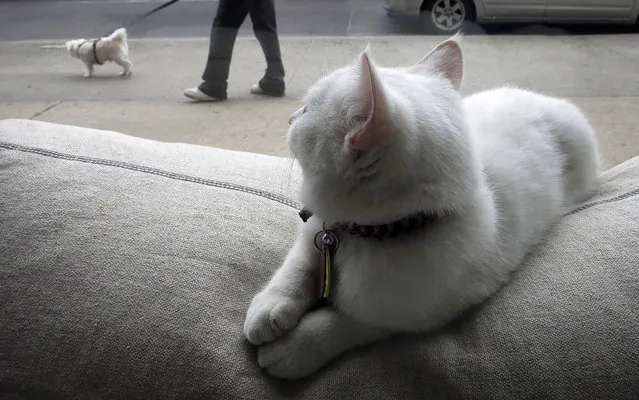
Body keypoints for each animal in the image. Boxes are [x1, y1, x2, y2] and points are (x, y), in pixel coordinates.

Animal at [244, 36, 600, 380]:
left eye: (305, 111)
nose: (290, 117)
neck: (361, 234)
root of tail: (552, 101)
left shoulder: (406, 313)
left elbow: (344, 324)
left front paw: (294, 349)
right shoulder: (316, 233)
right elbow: (297, 267)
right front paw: (268, 309)